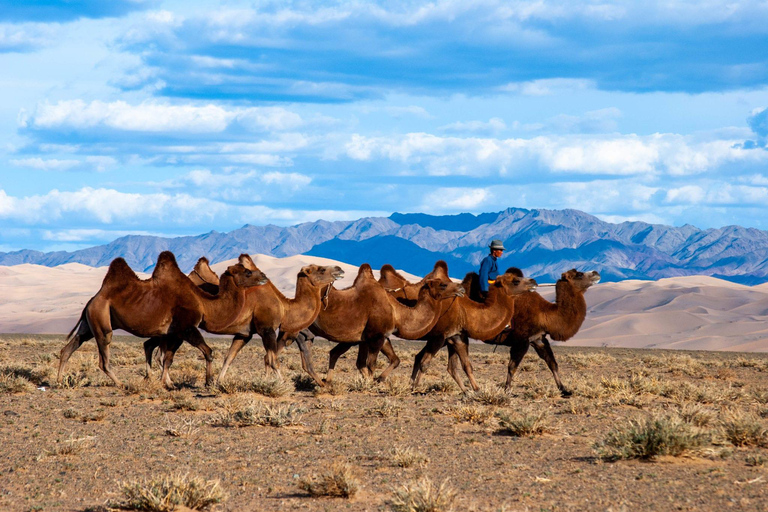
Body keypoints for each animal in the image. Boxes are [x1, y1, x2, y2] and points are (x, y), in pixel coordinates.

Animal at [57, 251, 268, 388]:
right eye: (248, 272)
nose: (265, 276)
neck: (202, 302)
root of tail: (92, 300)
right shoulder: (186, 327)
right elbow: (207, 351)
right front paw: (208, 382)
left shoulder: (172, 333)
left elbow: (168, 359)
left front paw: (167, 383)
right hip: (101, 320)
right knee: (103, 357)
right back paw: (121, 384)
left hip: (89, 323)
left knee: (69, 348)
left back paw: (59, 381)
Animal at [292, 266, 464, 382]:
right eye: (443, 284)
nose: (461, 288)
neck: (396, 312)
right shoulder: (376, 337)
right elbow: (370, 364)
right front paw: (370, 383)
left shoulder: (380, 336)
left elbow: (393, 360)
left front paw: (378, 380)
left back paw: (324, 382)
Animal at [480, 268, 600, 396]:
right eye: (579, 274)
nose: (596, 272)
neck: (544, 314)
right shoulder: (521, 340)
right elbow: (512, 367)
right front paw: (507, 390)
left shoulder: (538, 339)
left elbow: (552, 363)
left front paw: (564, 390)